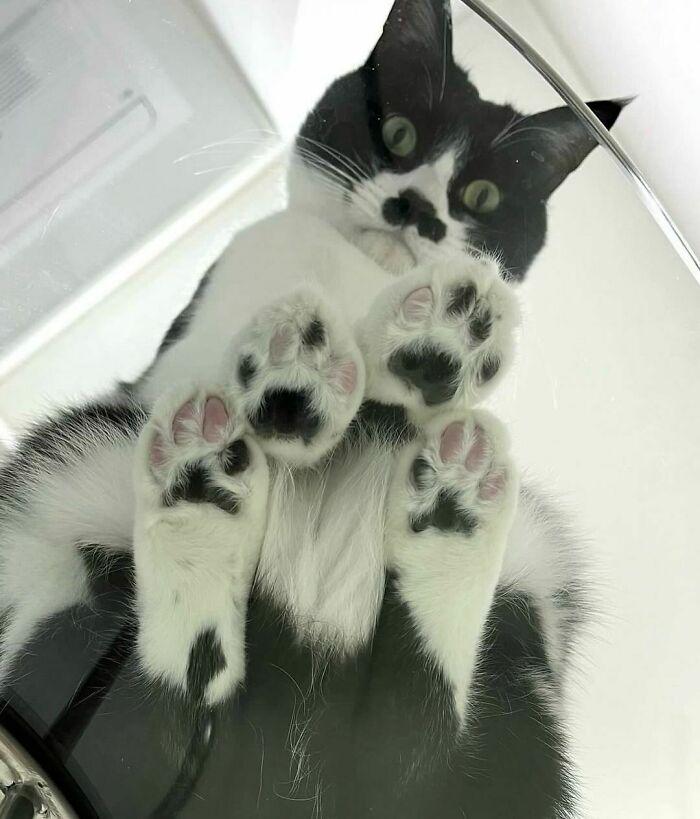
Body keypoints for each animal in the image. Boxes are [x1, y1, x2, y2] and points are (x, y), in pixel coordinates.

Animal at [0, 1, 623, 816]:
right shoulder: (182, 355)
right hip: (73, 494)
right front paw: (299, 382)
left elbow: (402, 394)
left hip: (526, 612)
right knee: (161, 718)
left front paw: (435, 348)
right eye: (398, 134)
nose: (416, 208)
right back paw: (209, 491)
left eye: (482, 196)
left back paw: (446, 506)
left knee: (410, 733)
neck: (360, 278)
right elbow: (234, 371)